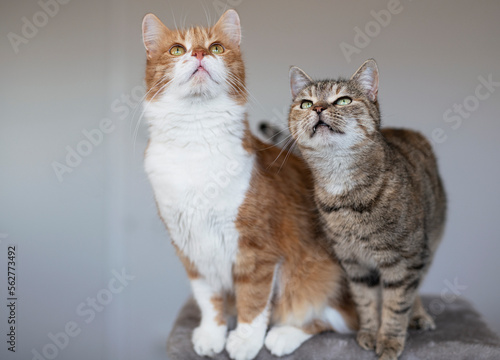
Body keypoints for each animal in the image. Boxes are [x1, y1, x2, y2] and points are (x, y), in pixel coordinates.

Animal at [143, 9, 358, 360]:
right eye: (177, 50)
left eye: (216, 48)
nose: (199, 54)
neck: (195, 138)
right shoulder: (191, 247)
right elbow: (208, 298)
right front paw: (212, 334)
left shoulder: (257, 250)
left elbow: (253, 300)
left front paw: (244, 340)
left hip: (320, 279)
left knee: (332, 320)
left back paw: (282, 335)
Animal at [288, 59, 448, 360]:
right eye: (306, 103)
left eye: (343, 100)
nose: (318, 108)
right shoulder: (354, 264)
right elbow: (365, 302)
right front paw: (371, 333)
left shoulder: (404, 260)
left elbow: (396, 304)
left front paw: (389, 340)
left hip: (428, 246)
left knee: (415, 289)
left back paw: (418, 315)